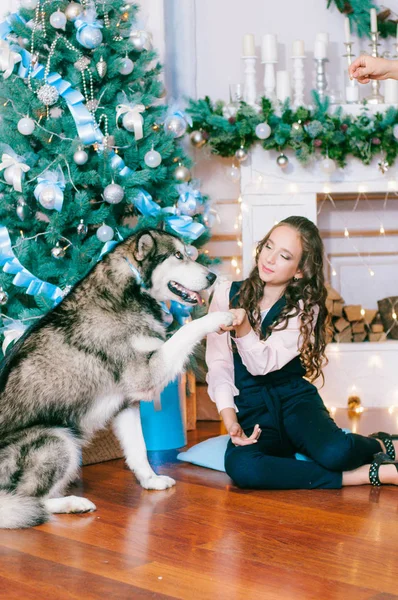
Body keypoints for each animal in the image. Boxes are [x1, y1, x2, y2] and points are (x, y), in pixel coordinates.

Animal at [0, 230, 233, 528]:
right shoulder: (147, 374)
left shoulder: (126, 403)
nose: (213, 277)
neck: (131, 287)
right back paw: (72, 503)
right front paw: (218, 316)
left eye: (187, 253)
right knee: (29, 502)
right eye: (178, 255)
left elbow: (139, 450)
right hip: (58, 437)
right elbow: (184, 331)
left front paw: (150, 481)